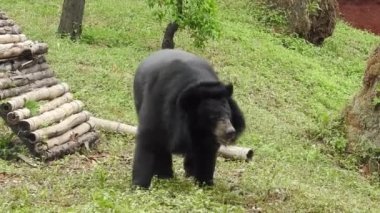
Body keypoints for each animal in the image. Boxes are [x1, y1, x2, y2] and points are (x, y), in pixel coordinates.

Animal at [132, 49, 245, 188]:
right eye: (213, 117)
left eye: (228, 115)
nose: (230, 132)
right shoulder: (159, 103)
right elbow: (149, 139)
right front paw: (139, 186)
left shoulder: (208, 134)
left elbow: (207, 151)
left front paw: (205, 183)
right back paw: (165, 175)